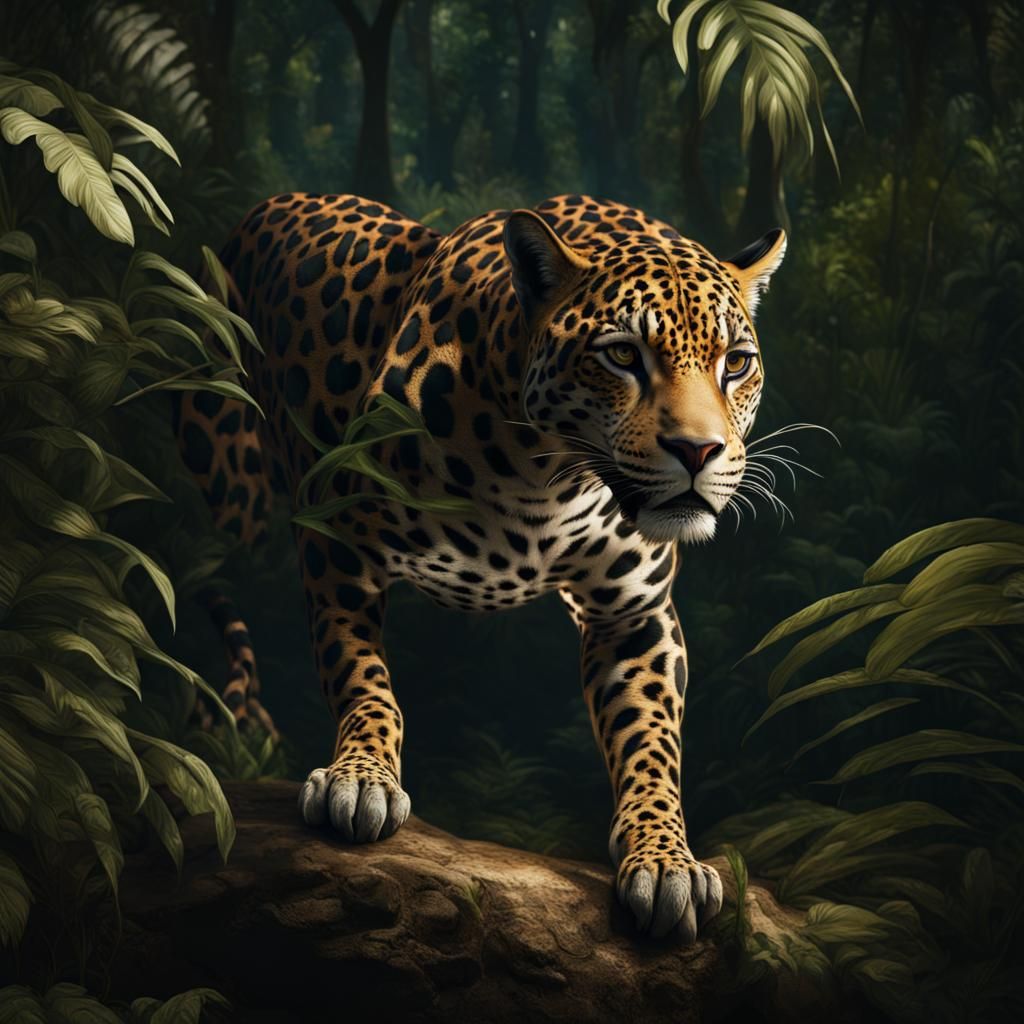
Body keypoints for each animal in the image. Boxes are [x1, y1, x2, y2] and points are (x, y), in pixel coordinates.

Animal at [176, 190, 786, 942]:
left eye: (736, 362)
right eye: (622, 355)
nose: (699, 452)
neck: (548, 480)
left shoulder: (632, 614)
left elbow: (650, 739)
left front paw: (665, 857)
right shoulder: (337, 543)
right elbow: (363, 677)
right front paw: (362, 777)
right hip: (226, 482)